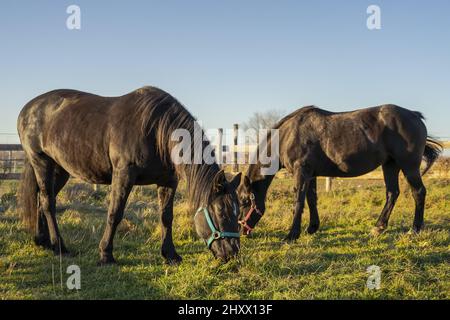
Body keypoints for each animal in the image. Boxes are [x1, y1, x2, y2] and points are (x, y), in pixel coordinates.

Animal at [16, 86, 243, 264]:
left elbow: (166, 217)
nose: (233, 252)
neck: (156, 131)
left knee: (43, 200)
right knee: (48, 203)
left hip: (60, 169)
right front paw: (106, 254)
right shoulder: (124, 175)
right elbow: (115, 214)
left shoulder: (168, 181)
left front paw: (170, 254)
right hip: (41, 162)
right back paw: (60, 247)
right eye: (221, 211)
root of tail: (27, 109)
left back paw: (44, 241)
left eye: (238, 210)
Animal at [237, 105, 442, 240]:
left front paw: (292, 235)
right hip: (390, 165)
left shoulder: (301, 172)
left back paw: (415, 229)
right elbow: (311, 199)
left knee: (418, 192)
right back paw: (378, 227)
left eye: (245, 201)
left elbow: (298, 201)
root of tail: (414, 115)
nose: (241, 230)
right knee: (392, 193)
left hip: (409, 166)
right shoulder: (311, 174)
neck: (287, 136)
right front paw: (312, 228)